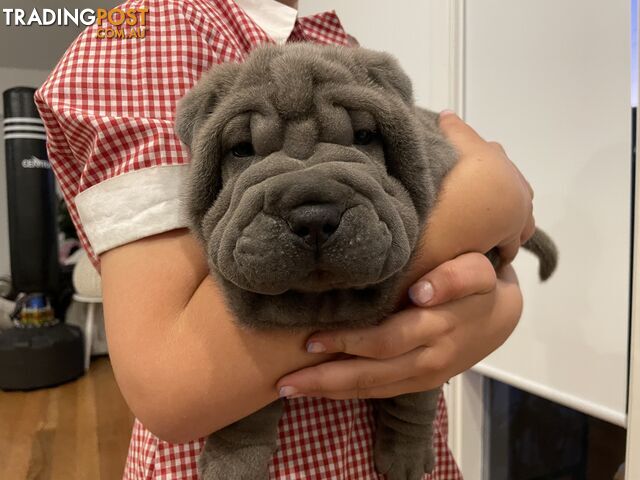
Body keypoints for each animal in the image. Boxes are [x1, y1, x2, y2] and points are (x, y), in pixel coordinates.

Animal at [175, 42, 556, 480]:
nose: (313, 215)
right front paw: (231, 461)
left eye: (364, 137)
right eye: (241, 150)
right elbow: (244, 408)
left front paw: (405, 456)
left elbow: (415, 394)